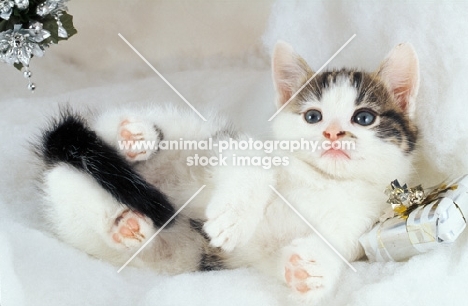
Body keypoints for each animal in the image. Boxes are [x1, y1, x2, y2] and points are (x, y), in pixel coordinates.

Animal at [203, 41, 418, 302]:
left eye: (364, 118)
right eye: (313, 116)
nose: (332, 133)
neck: (326, 179)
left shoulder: (368, 212)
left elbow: (345, 236)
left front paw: (315, 266)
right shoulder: (225, 142)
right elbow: (248, 156)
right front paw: (233, 218)